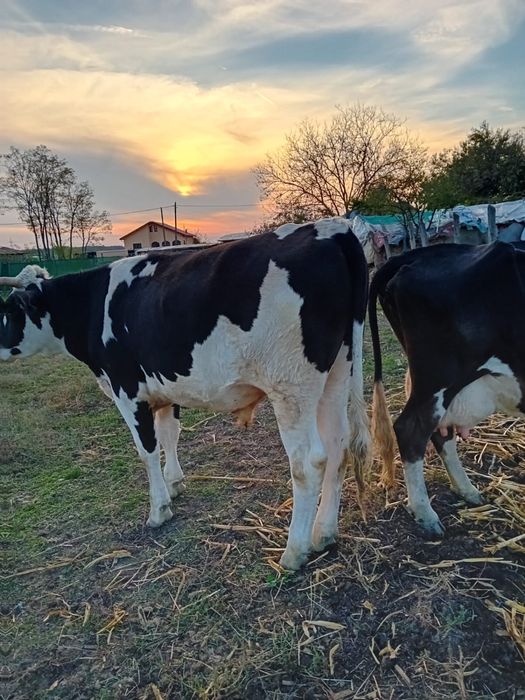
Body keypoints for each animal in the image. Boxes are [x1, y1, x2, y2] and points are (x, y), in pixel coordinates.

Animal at [0, 217, 370, 570]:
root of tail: (331, 228)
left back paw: (294, 551)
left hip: (291, 386)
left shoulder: (127, 389)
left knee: (308, 461)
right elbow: (169, 434)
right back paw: (324, 534)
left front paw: (159, 509)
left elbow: (147, 449)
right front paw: (175, 483)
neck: (93, 306)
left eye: (9, 311)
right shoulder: (164, 388)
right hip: (338, 371)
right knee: (338, 446)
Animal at [369, 240, 525, 537]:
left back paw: (466, 490)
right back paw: (425, 514)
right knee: (411, 430)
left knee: (440, 433)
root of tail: (416, 254)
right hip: (438, 376)